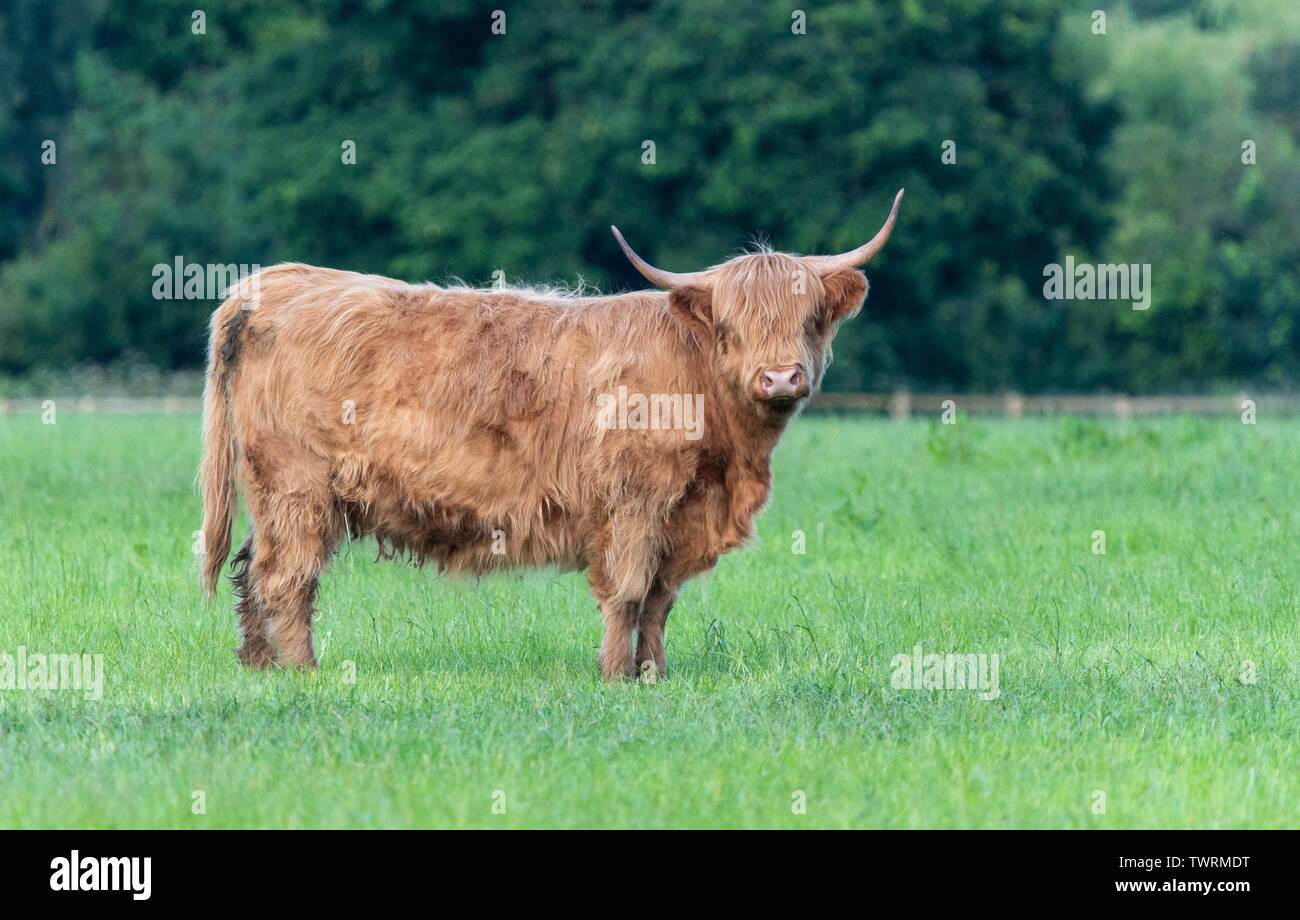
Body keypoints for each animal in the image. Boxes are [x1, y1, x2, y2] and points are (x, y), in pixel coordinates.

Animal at [199, 190, 903, 680]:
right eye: (731, 324)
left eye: (810, 317)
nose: (780, 376)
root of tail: (270, 285)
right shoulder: (636, 502)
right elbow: (628, 591)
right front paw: (617, 677)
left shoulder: (682, 516)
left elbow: (659, 601)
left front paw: (655, 676)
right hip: (298, 484)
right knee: (287, 576)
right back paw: (305, 671)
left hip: (276, 492)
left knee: (252, 568)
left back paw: (259, 667)